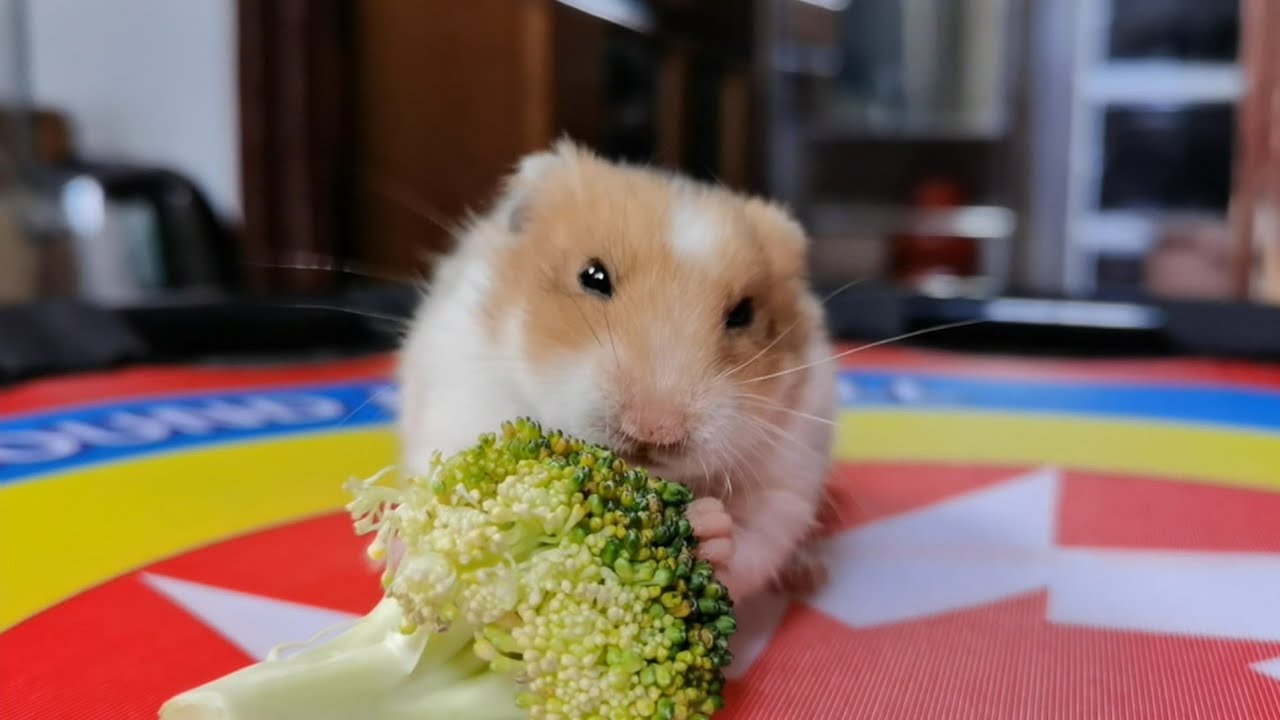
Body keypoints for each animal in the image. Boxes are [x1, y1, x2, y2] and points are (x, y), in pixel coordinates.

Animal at [395, 141, 837, 602]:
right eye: (592, 276)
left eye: (743, 314)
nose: (654, 430)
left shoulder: (788, 472)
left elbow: (752, 540)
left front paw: (707, 525)